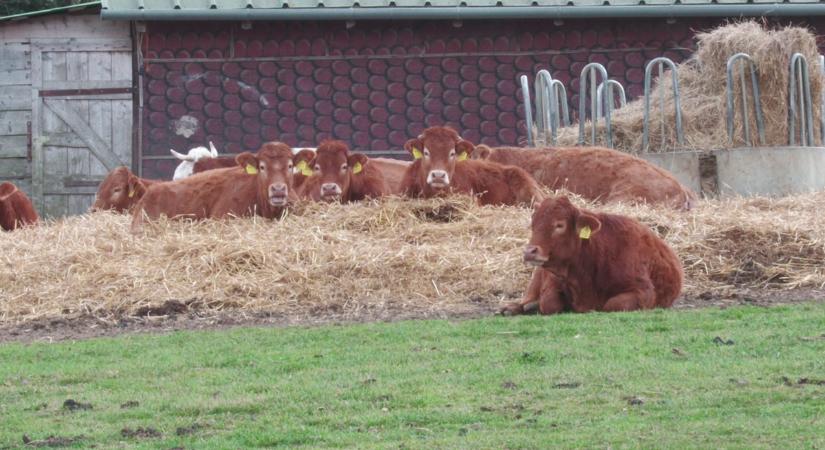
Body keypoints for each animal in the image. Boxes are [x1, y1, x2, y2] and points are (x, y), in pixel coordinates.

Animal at [502, 197, 684, 316]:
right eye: (532, 225)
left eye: (559, 225)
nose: (529, 251)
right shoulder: (552, 282)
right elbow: (549, 303)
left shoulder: (643, 291)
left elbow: (612, 304)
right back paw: (512, 308)